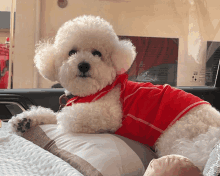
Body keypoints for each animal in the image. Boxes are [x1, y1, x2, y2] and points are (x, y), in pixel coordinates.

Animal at [9, 15, 220, 172]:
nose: (83, 65)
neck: (94, 90)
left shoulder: (108, 114)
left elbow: (67, 116)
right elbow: (51, 114)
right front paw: (25, 120)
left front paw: (63, 118)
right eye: (71, 52)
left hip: (175, 138)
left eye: (97, 53)